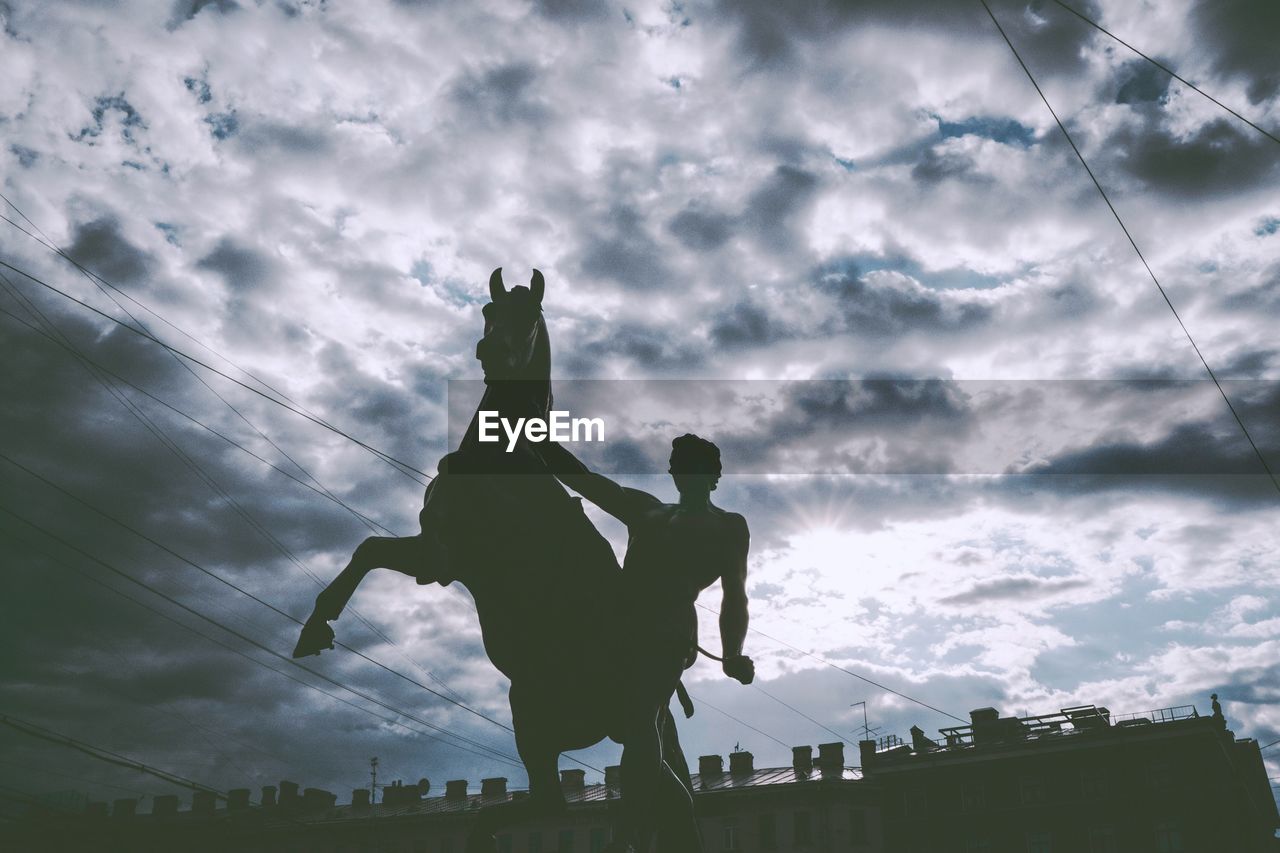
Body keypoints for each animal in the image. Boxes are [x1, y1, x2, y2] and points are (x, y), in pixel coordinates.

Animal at [294, 267, 696, 850]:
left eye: (529, 316)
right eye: (488, 311)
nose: (491, 350)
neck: (501, 461)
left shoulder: (451, 556)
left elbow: (370, 550)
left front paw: (317, 626)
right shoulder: (436, 559)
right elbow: (367, 549)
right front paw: (314, 629)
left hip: (627, 724)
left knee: (629, 802)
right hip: (549, 717)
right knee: (631, 801)